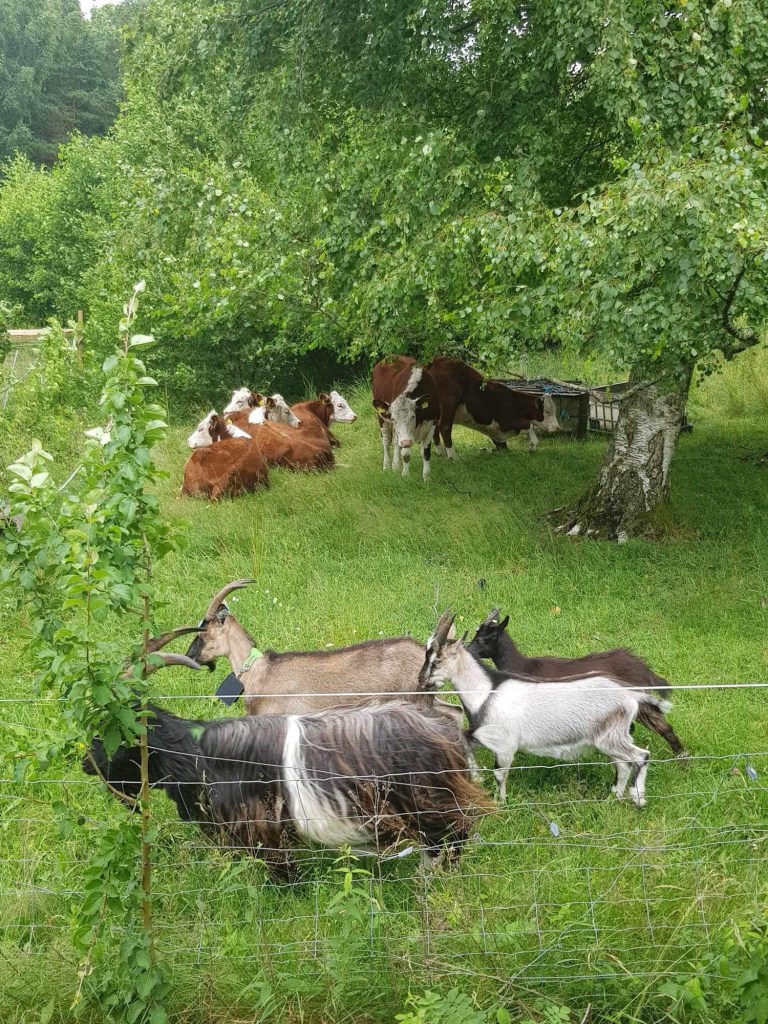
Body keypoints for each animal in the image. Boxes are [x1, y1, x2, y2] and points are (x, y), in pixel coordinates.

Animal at [83, 696, 491, 879]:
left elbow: (280, 867)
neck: (198, 756)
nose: (85, 763)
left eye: (114, 736)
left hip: (431, 801)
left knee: (453, 836)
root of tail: (449, 731)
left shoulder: (262, 825)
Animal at [426, 356, 560, 456]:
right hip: (449, 403)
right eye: (547, 412)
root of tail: (437, 360)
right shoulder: (505, 421)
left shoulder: (496, 432)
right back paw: (453, 457)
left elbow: (502, 447)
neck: (512, 401)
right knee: (444, 426)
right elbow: (529, 424)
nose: (557, 427)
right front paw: (533, 446)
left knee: (435, 427)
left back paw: (440, 452)